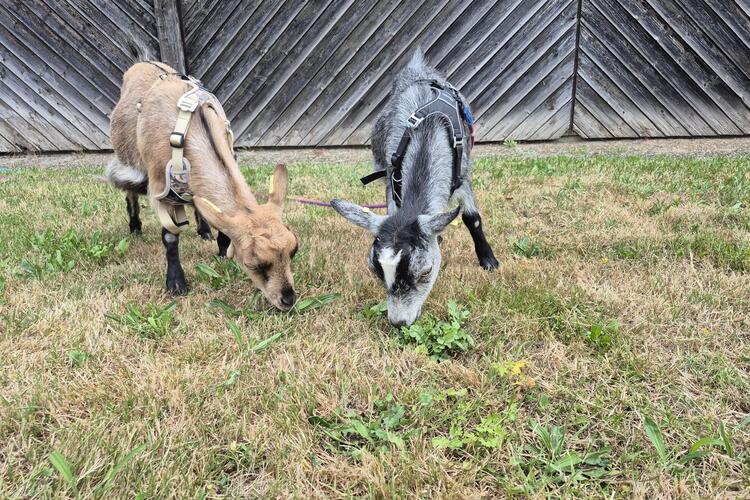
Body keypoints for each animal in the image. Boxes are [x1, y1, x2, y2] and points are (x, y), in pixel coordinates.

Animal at [108, 62, 298, 310]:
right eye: (253, 264)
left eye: (294, 250)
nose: (288, 300)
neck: (192, 127)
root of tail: (142, 62)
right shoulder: (159, 187)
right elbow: (170, 234)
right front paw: (176, 284)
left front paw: (222, 249)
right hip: (128, 157)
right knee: (130, 193)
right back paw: (135, 228)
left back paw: (204, 231)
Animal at [332, 51, 498, 326]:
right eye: (376, 272)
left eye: (426, 272)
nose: (399, 323)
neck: (427, 133)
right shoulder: (392, 180)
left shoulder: (463, 175)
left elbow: (471, 218)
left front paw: (488, 260)